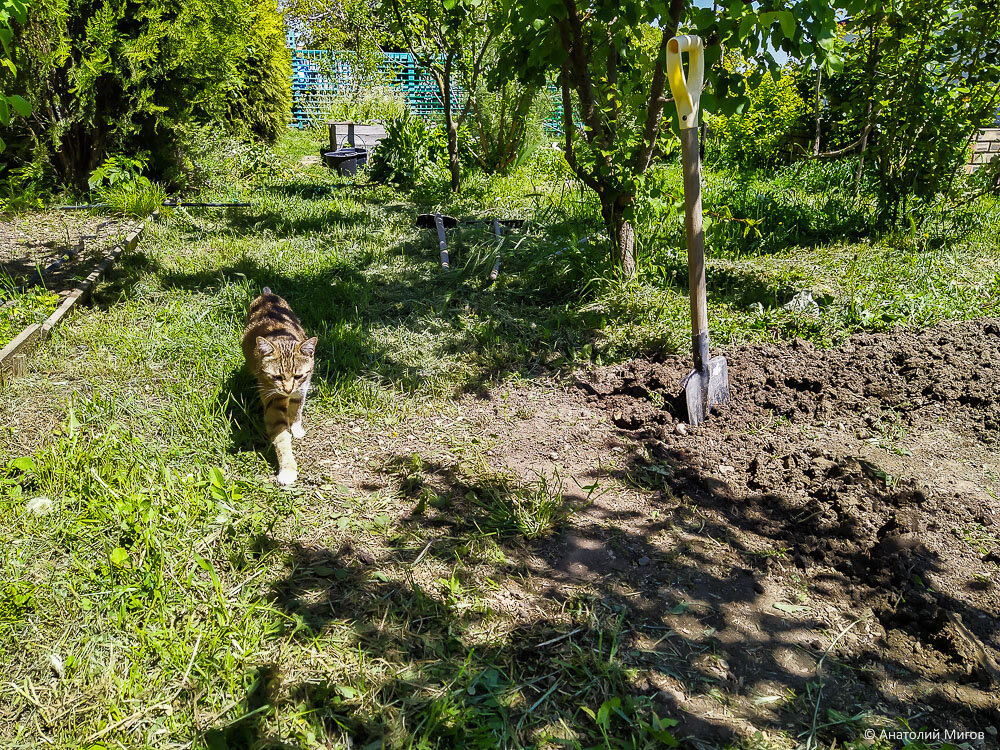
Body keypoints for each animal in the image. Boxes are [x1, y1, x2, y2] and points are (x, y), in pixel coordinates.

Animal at [242, 288, 316, 488]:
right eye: (277, 377)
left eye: (298, 376)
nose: (288, 390)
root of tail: (267, 294)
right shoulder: (273, 402)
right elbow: (282, 440)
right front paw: (288, 469)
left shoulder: (301, 389)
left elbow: (297, 410)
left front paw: (296, 428)